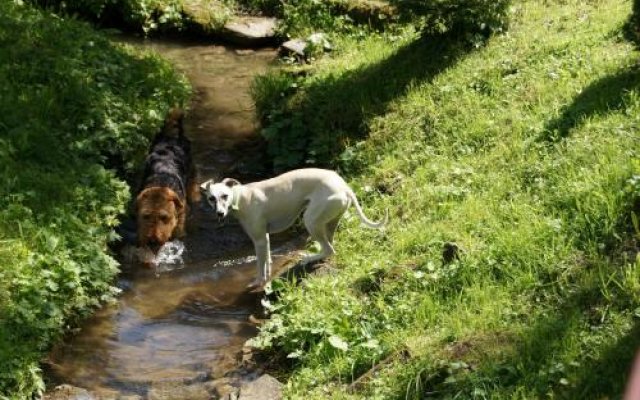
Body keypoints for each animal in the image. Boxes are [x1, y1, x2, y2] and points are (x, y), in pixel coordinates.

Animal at [134, 108, 196, 255]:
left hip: (191, 170)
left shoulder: (180, 214)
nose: (152, 241)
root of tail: (172, 137)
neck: (160, 184)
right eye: (145, 216)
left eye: (164, 217)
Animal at [200, 167, 388, 290]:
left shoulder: (259, 239)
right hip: (329, 222)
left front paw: (259, 282)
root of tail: (345, 187)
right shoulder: (264, 238)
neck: (242, 197)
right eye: (211, 198)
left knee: (329, 249)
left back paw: (307, 259)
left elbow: (260, 266)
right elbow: (267, 260)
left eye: (225, 196)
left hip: (310, 220)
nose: (220, 213)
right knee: (330, 246)